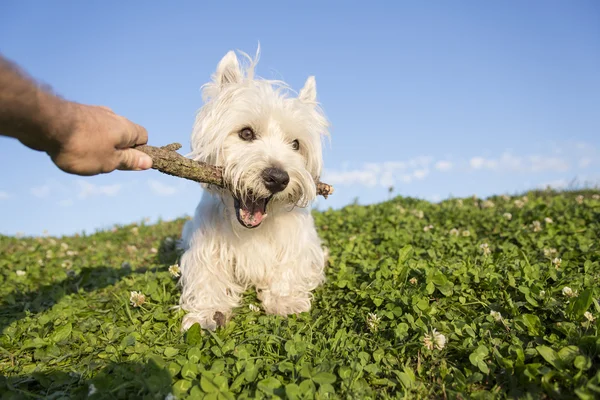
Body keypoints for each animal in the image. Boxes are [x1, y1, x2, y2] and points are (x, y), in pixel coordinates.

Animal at [176, 47, 330, 332]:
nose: (278, 178)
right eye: (246, 133)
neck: (253, 231)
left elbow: (288, 268)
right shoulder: (207, 250)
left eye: (295, 144)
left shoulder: (297, 242)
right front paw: (207, 313)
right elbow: (208, 277)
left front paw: (286, 300)